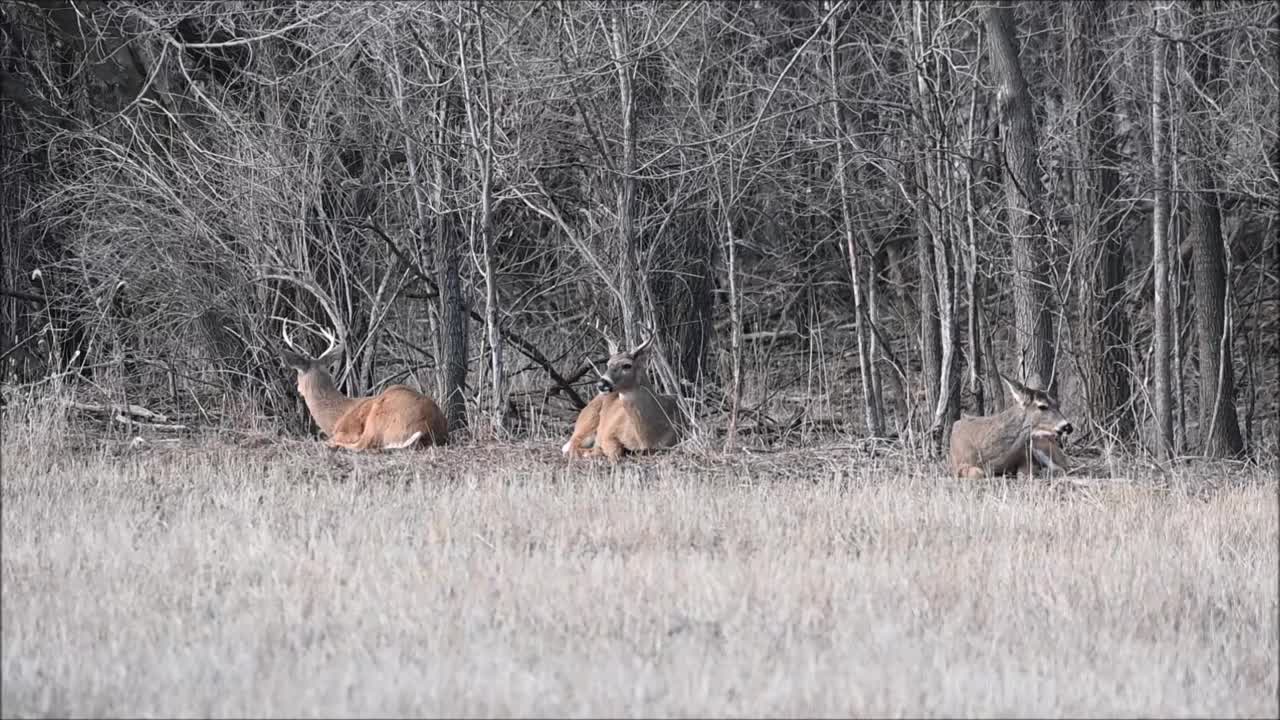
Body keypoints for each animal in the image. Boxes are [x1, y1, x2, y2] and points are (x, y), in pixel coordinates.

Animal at [277, 324, 448, 448]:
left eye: (297, 373)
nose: (297, 388)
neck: (336, 417)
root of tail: (427, 428)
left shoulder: (349, 431)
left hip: (378, 416)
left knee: (362, 445)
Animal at [558, 324, 680, 458]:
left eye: (627, 365)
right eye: (608, 364)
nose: (602, 384)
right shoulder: (609, 432)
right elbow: (614, 450)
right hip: (587, 421)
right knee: (571, 446)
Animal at [947, 376, 1075, 476]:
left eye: (1056, 404)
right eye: (1042, 406)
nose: (1068, 426)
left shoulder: (1025, 456)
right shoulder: (957, 464)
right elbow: (977, 473)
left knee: (1064, 467)